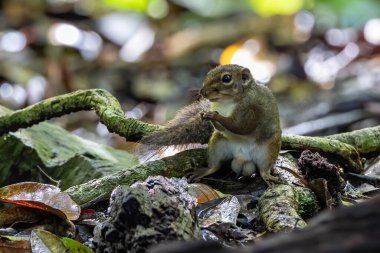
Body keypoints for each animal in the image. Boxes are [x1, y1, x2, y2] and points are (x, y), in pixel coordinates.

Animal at [139, 64, 280, 184]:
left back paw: (267, 175)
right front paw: (207, 115)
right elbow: (221, 128)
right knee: (216, 166)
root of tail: (243, 159)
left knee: (263, 169)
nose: (202, 92)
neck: (227, 102)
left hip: (268, 151)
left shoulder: (250, 109)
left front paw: (215, 116)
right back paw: (205, 171)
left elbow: (241, 127)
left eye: (227, 78)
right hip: (217, 144)